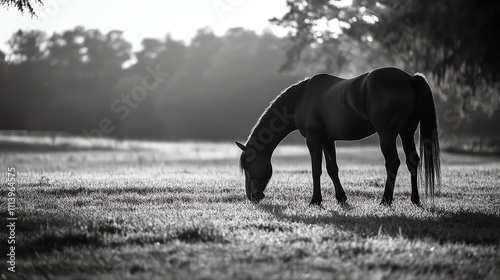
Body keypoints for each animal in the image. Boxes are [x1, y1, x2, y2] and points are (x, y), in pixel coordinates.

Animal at [236, 65, 440, 206]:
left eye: (247, 165)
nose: (252, 196)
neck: (302, 99)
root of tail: (410, 79)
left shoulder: (314, 139)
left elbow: (316, 169)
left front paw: (315, 200)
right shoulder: (327, 140)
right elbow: (332, 168)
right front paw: (341, 197)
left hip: (387, 135)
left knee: (392, 163)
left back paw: (385, 199)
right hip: (407, 132)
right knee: (412, 160)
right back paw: (415, 199)